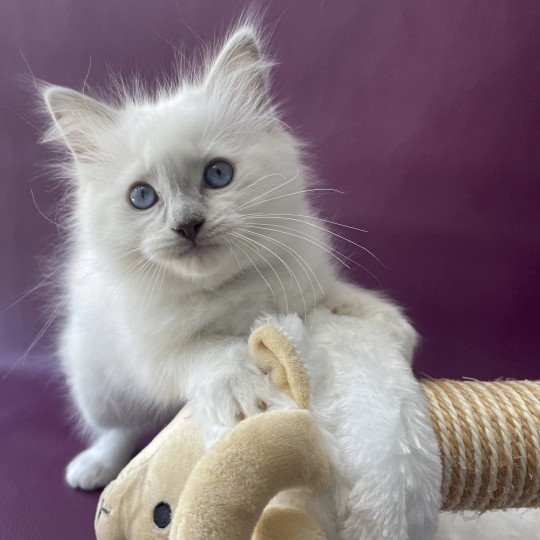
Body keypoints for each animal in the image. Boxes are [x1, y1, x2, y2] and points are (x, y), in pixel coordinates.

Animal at [42, 23, 416, 492]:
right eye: (142, 197)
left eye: (218, 174)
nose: (187, 225)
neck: (228, 289)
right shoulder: (155, 353)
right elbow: (212, 352)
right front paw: (248, 395)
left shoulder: (304, 284)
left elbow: (337, 297)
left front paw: (393, 327)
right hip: (98, 385)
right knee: (120, 429)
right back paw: (94, 468)